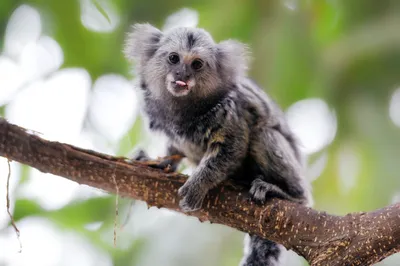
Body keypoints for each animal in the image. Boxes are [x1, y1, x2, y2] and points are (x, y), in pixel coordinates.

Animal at [123, 23, 310, 266]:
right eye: (174, 58)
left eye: (197, 64)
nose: (182, 75)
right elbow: (175, 149)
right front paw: (161, 163)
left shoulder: (230, 111)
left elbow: (231, 148)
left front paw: (198, 185)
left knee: (263, 135)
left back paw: (289, 194)